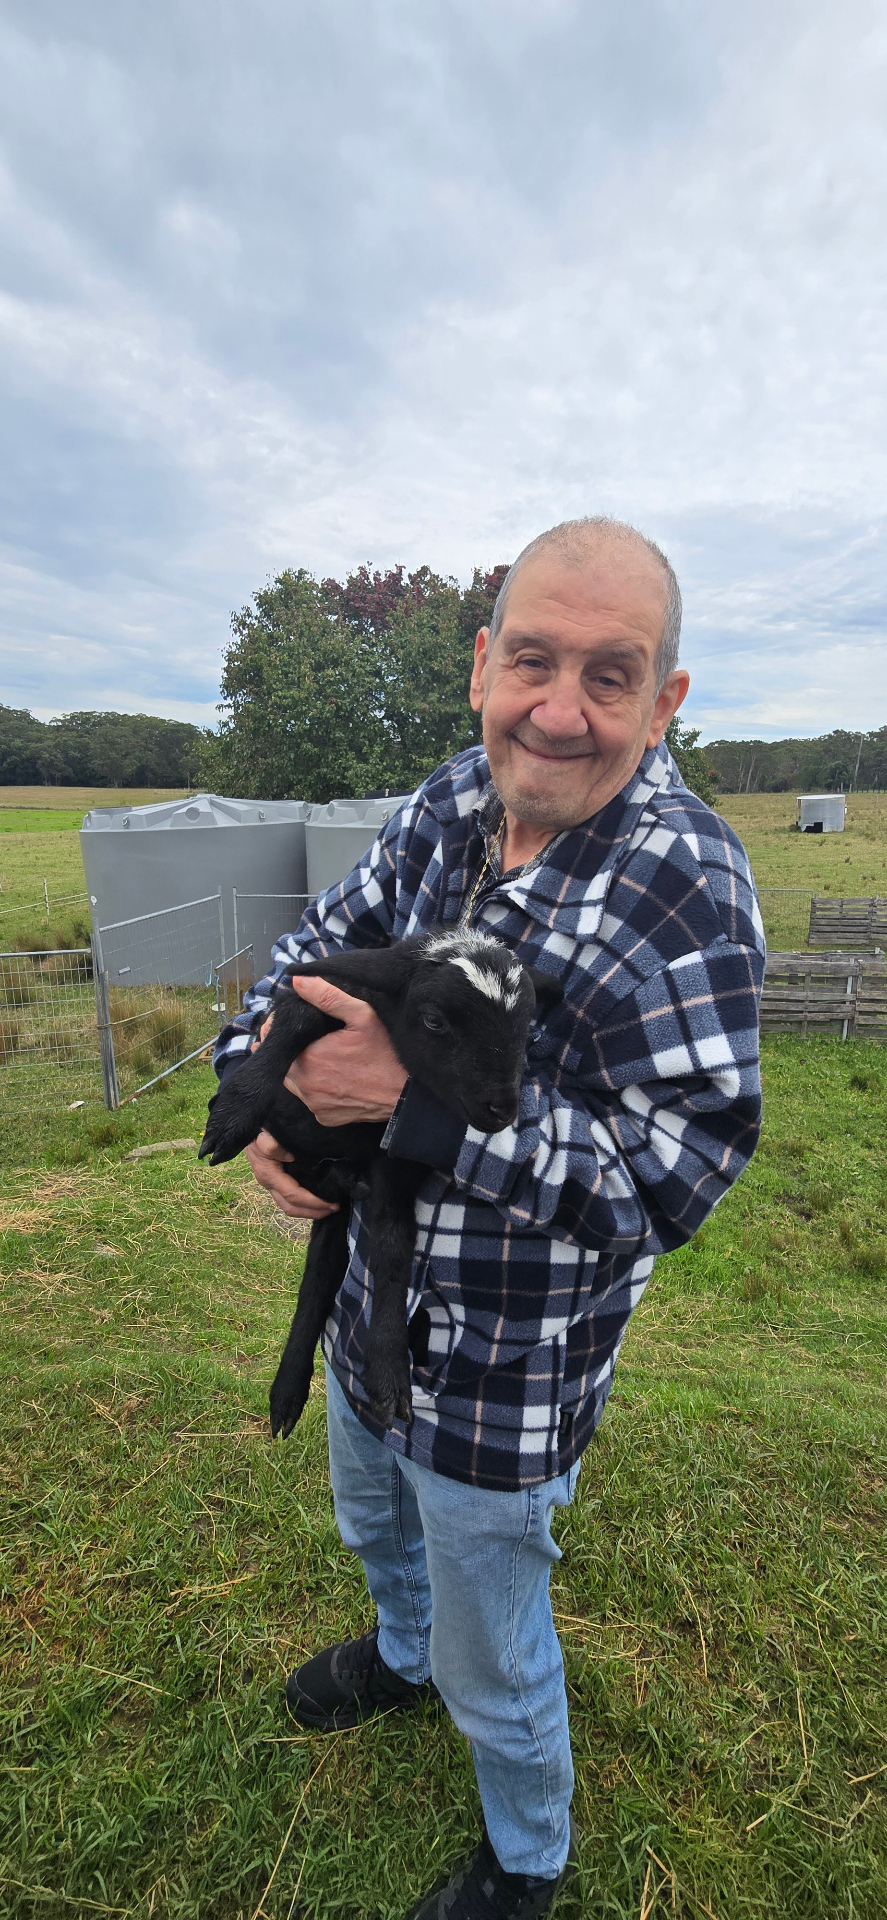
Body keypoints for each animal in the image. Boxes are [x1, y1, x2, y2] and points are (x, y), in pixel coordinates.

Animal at [198, 929, 560, 1435]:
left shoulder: (395, 1167)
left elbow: (392, 1255)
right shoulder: (320, 991)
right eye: (434, 1021)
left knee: (349, 1268)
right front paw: (235, 1112)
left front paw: (387, 1373)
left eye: (527, 1027)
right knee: (315, 1287)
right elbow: (294, 1020)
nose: (503, 1109)